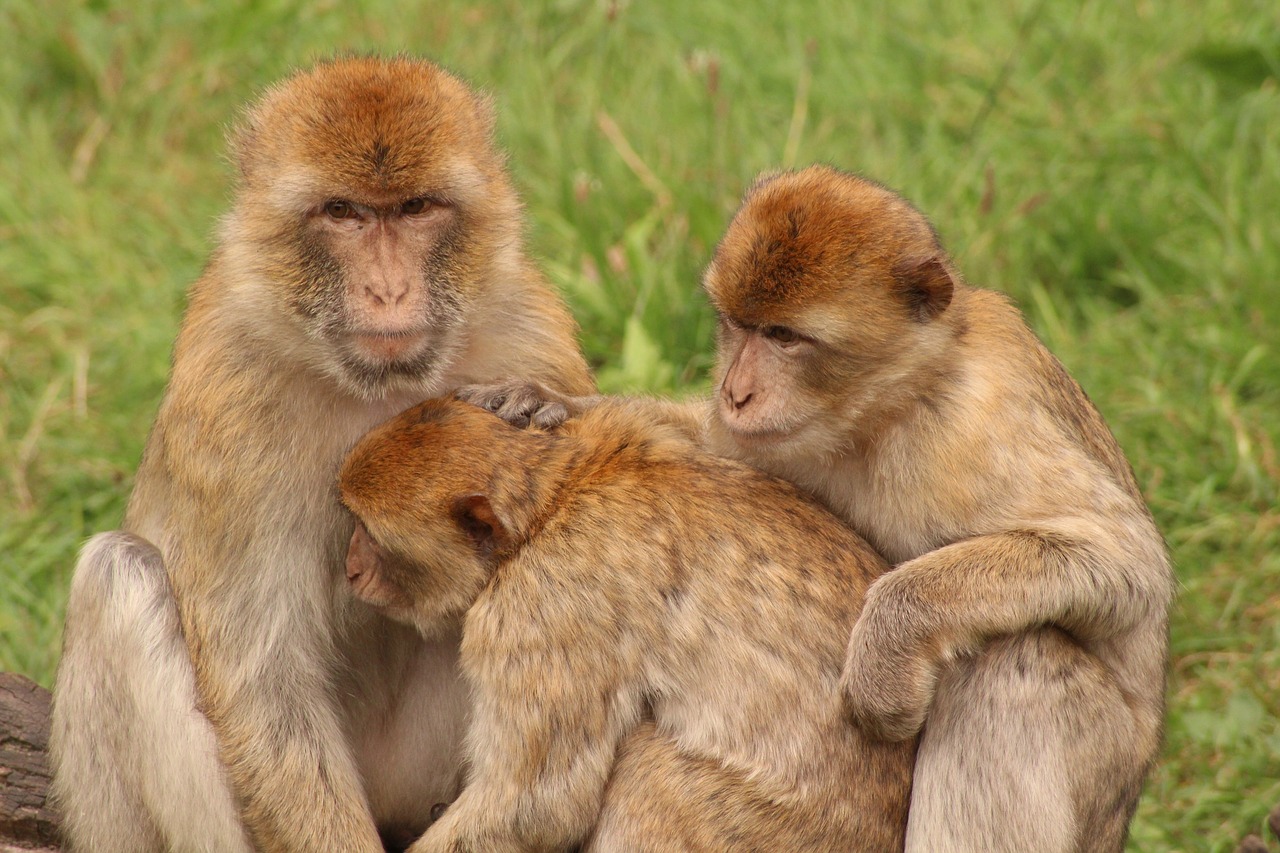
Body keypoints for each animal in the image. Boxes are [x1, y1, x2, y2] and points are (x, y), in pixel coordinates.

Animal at [47, 54, 591, 850]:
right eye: (344, 214)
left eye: (418, 208)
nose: (388, 289)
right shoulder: (230, 404)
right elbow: (264, 683)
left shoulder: (534, 334)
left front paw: (536, 410)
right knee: (118, 572)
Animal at [340, 397, 916, 850]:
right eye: (352, 521)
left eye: (370, 532)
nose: (350, 568)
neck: (553, 499)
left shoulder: (543, 607)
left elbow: (534, 808)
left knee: (644, 767)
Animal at [458, 166, 1172, 850]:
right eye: (737, 324)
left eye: (785, 336)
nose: (735, 392)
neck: (883, 413)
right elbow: (703, 448)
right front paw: (549, 404)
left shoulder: (974, 427)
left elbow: (1124, 565)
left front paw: (885, 656)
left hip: (1105, 773)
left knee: (1015, 661)